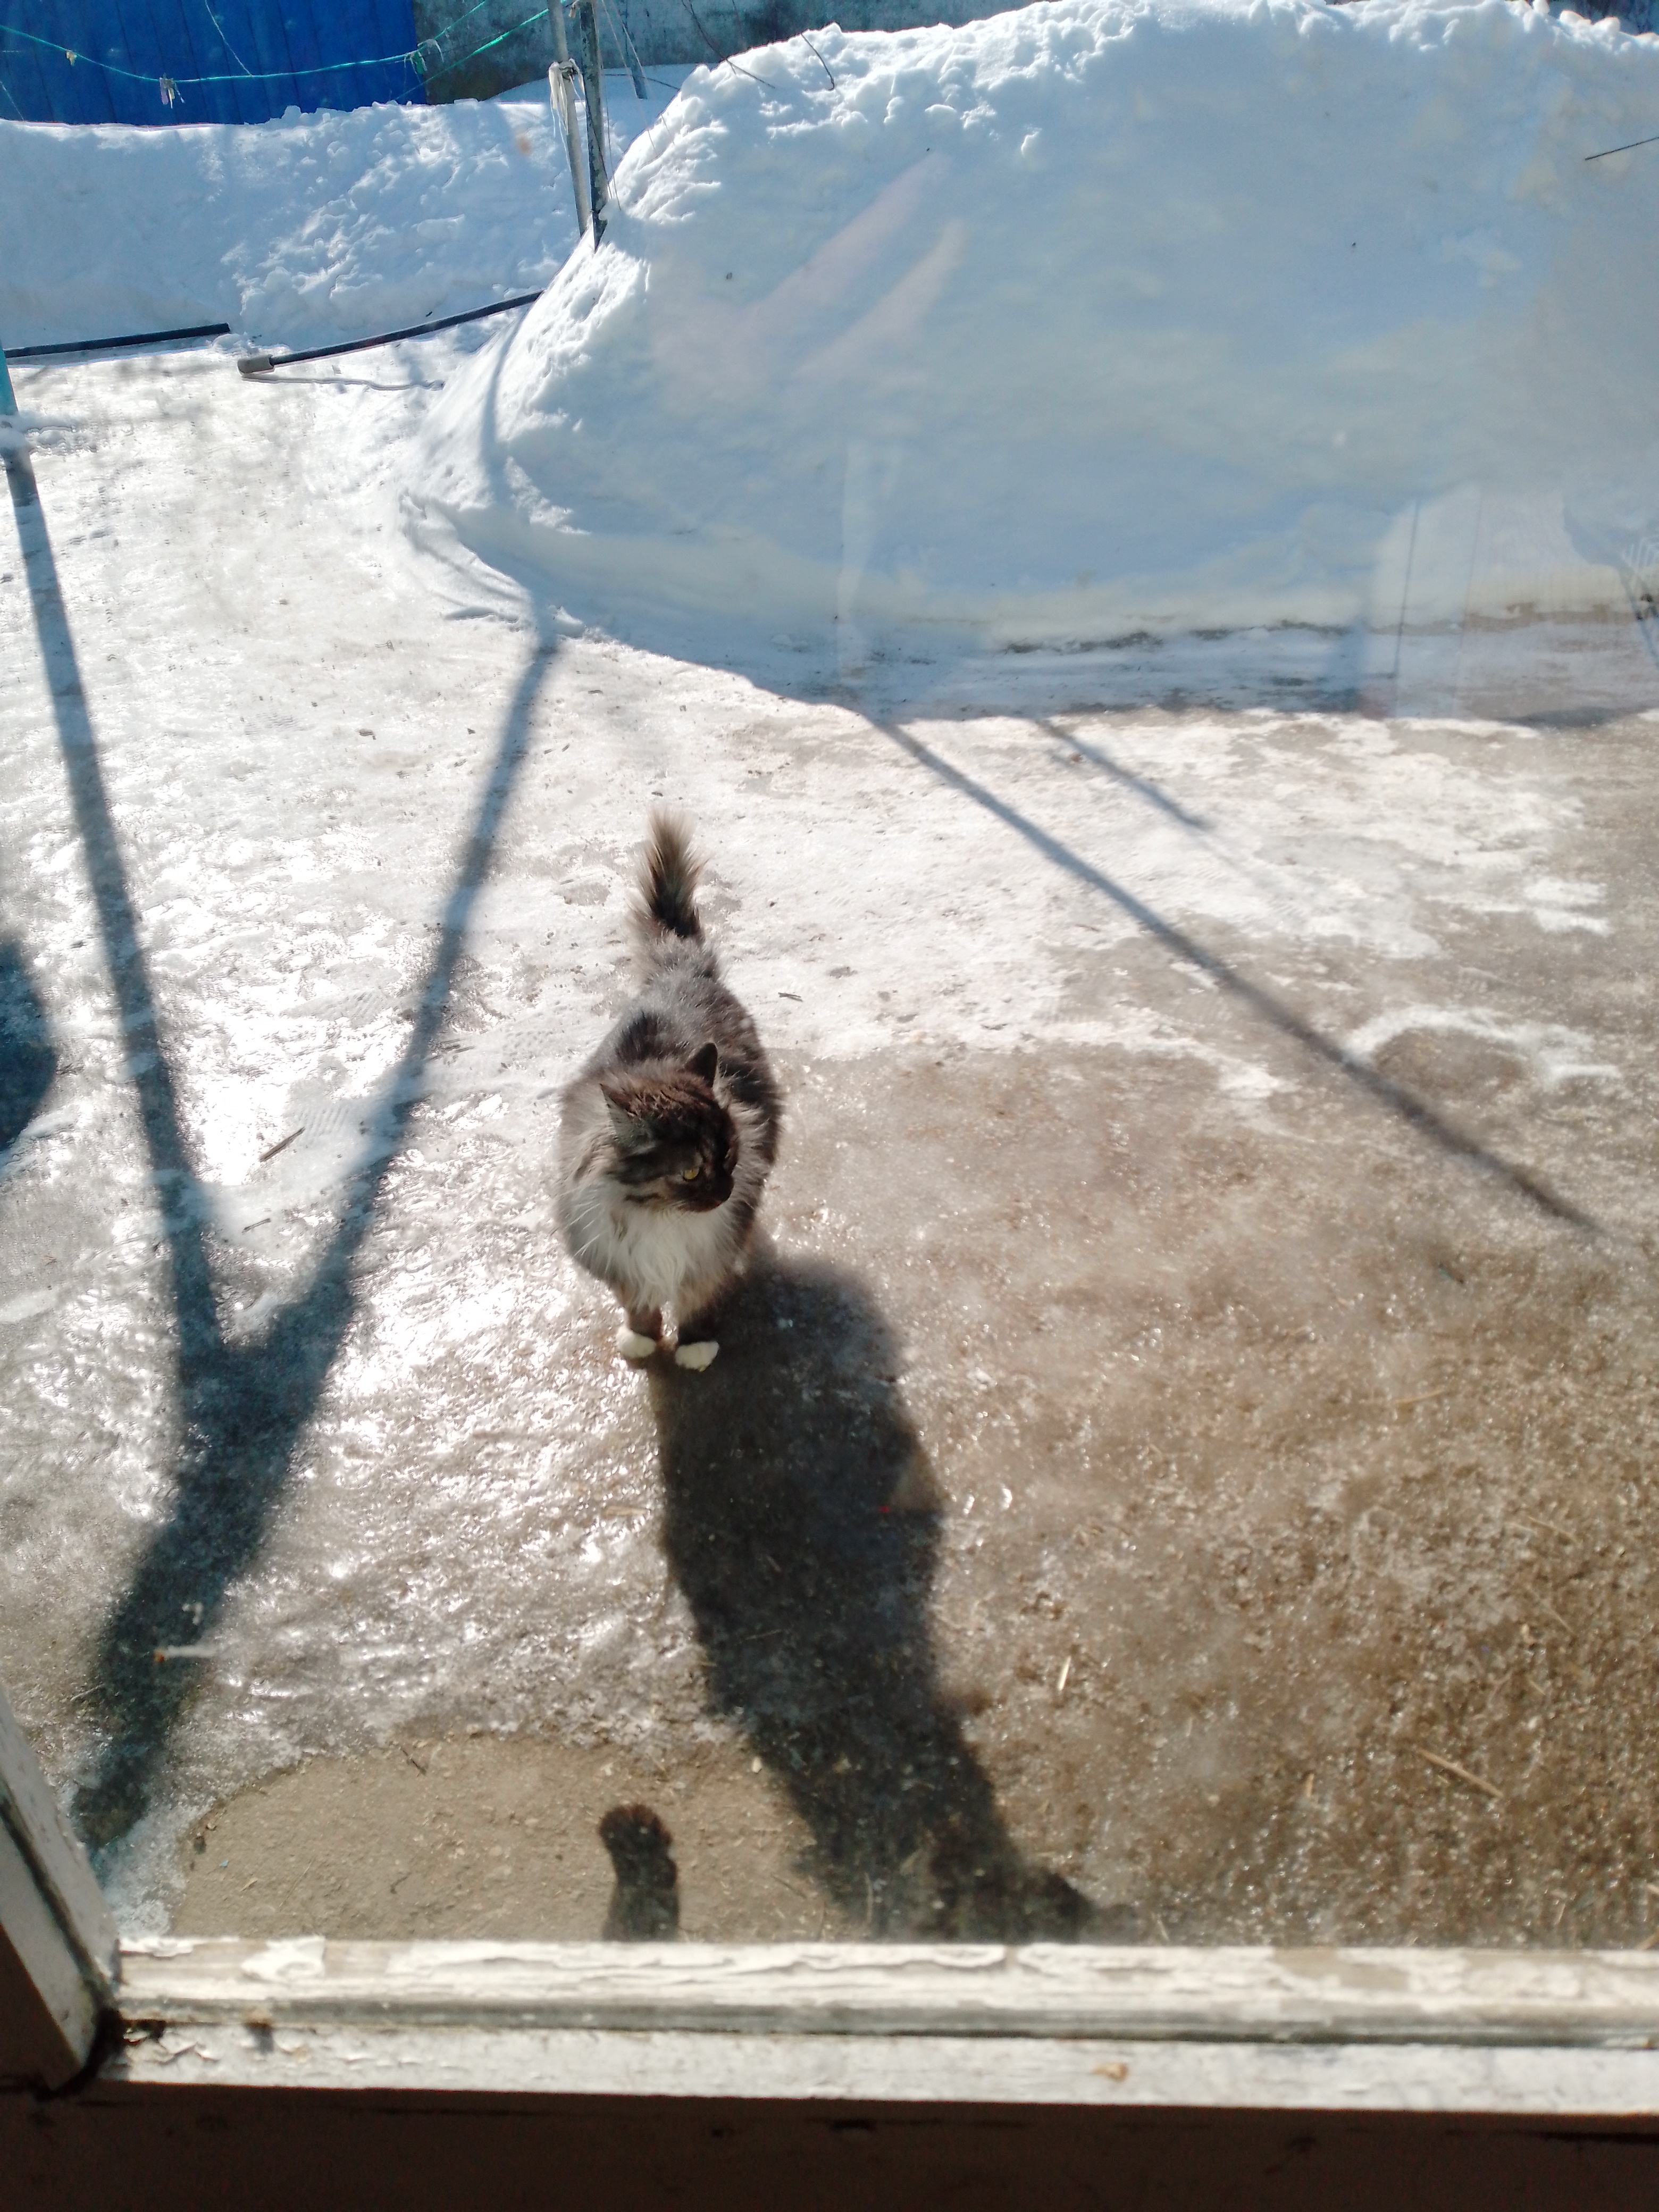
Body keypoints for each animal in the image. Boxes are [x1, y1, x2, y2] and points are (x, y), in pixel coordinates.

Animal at [557, 811, 781, 1370]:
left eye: (730, 1157)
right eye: (691, 1172)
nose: (725, 1193)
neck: (658, 1216)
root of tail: (682, 971)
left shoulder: (708, 1257)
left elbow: (698, 1300)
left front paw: (694, 1348)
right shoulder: (620, 1259)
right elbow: (638, 1304)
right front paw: (641, 1341)